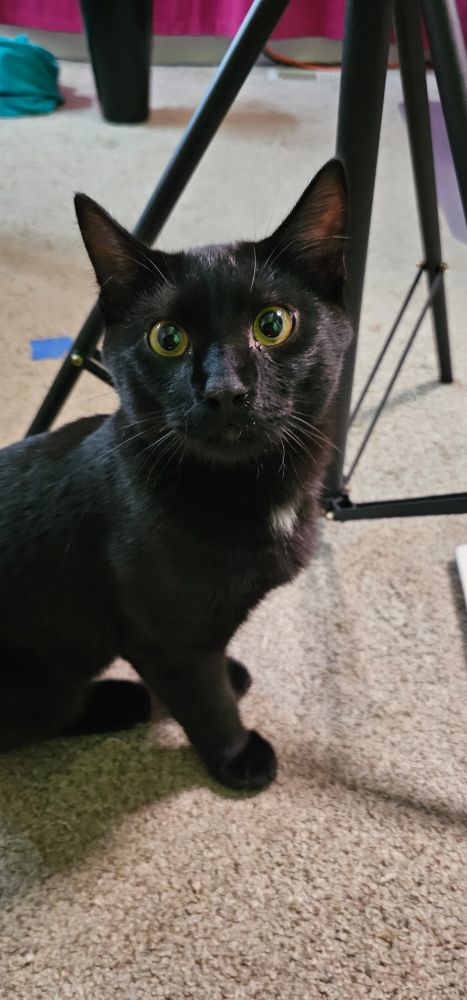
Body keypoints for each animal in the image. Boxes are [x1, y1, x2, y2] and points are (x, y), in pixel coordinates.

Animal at [0, 159, 351, 790]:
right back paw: (120, 701)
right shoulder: (164, 638)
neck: (256, 492)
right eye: (167, 338)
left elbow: (213, 667)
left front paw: (231, 672)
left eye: (273, 324)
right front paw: (237, 756)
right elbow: (203, 698)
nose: (225, 390)